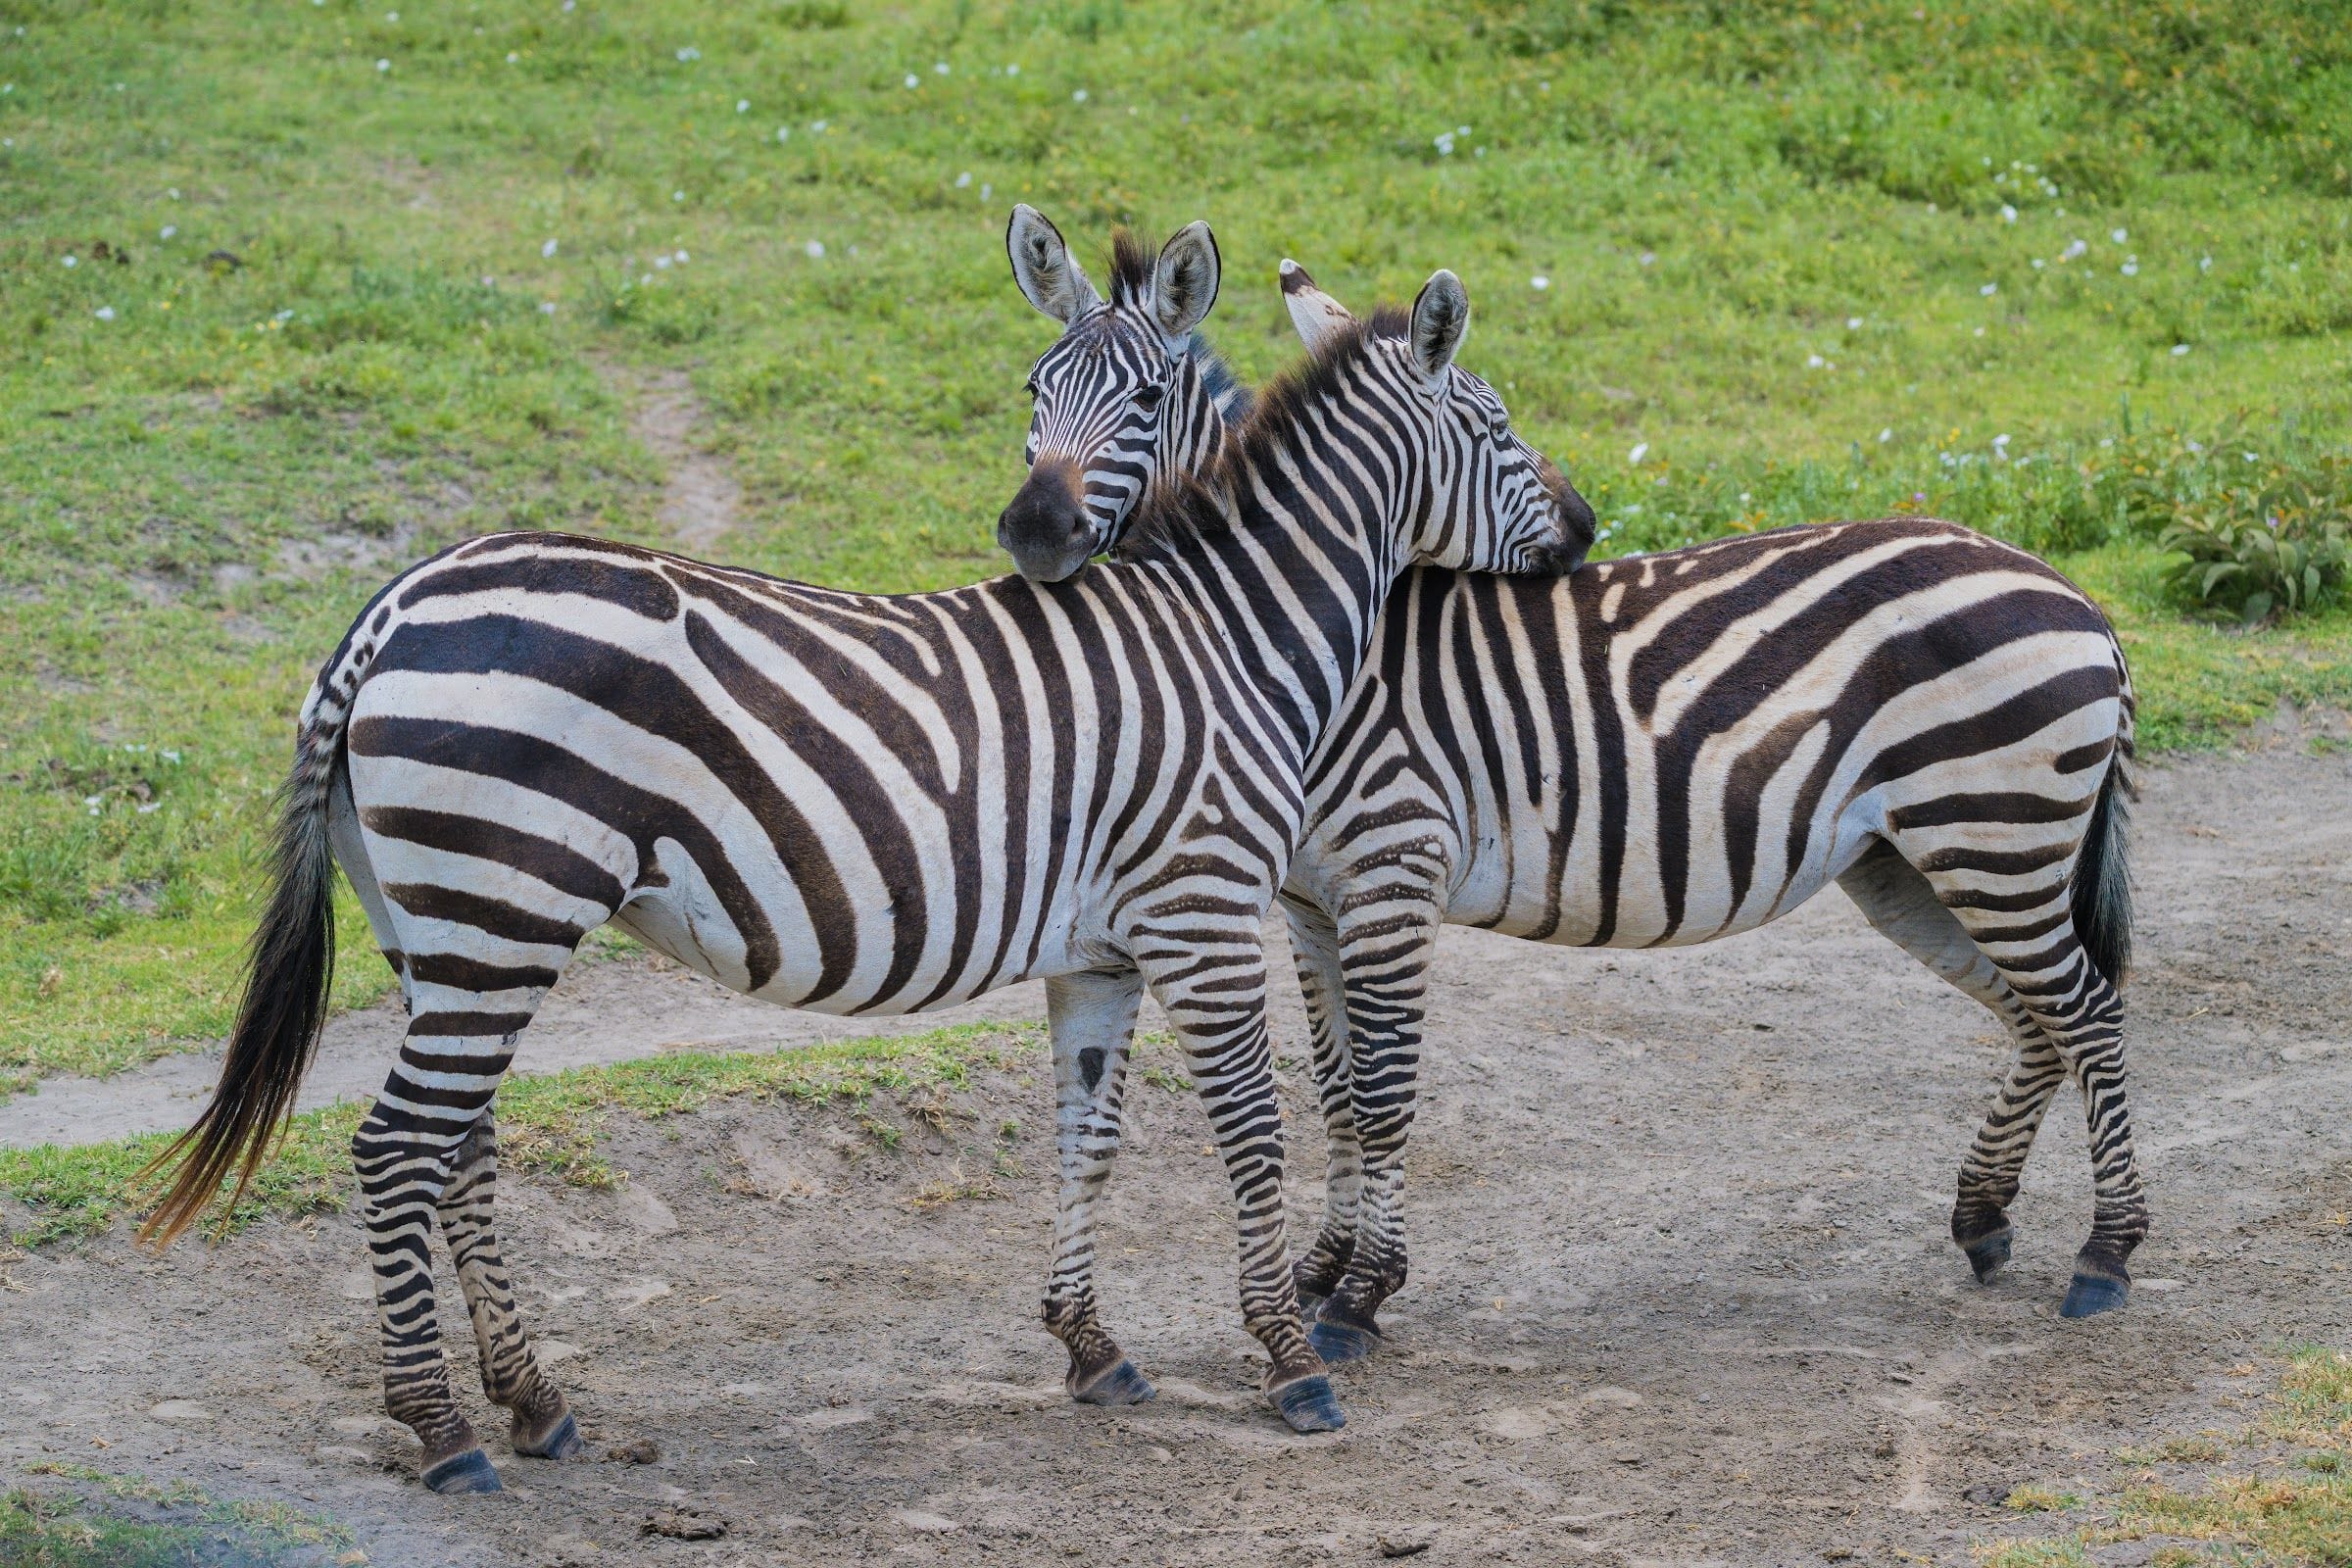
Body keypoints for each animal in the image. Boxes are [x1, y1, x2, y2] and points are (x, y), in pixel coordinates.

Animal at [138, 226, 1589, 1491]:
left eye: (1141, 396)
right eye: (1501, 423)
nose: (1585, 527)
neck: (1227, 626)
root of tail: (390, 606)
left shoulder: (1105, 950)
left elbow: (1089, 1136)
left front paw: (1094, 1352)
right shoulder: (1207, 912)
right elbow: (1250, 1130)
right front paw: (1292, 1362)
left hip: (436, 923)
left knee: (462, 1144)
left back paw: (535, 1402)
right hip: (504, 906)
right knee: (396, 1145)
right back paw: (444, 1433)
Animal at [1007, 259, 2148, 1375]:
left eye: (1145, 401)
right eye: (1033, 390)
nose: (1030, 532)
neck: (1293, 634)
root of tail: (2073, 592)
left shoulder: (1393, 870)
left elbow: (1382, 1090)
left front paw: (1361, 1295)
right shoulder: (1311, 902)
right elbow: (1334, 1085)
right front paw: (1325, 1266)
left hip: (1992, 833)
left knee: (2089, 1010)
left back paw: (2106, 1255)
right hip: (1919, 861)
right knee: (2038, 1016)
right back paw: (1984, 1217)